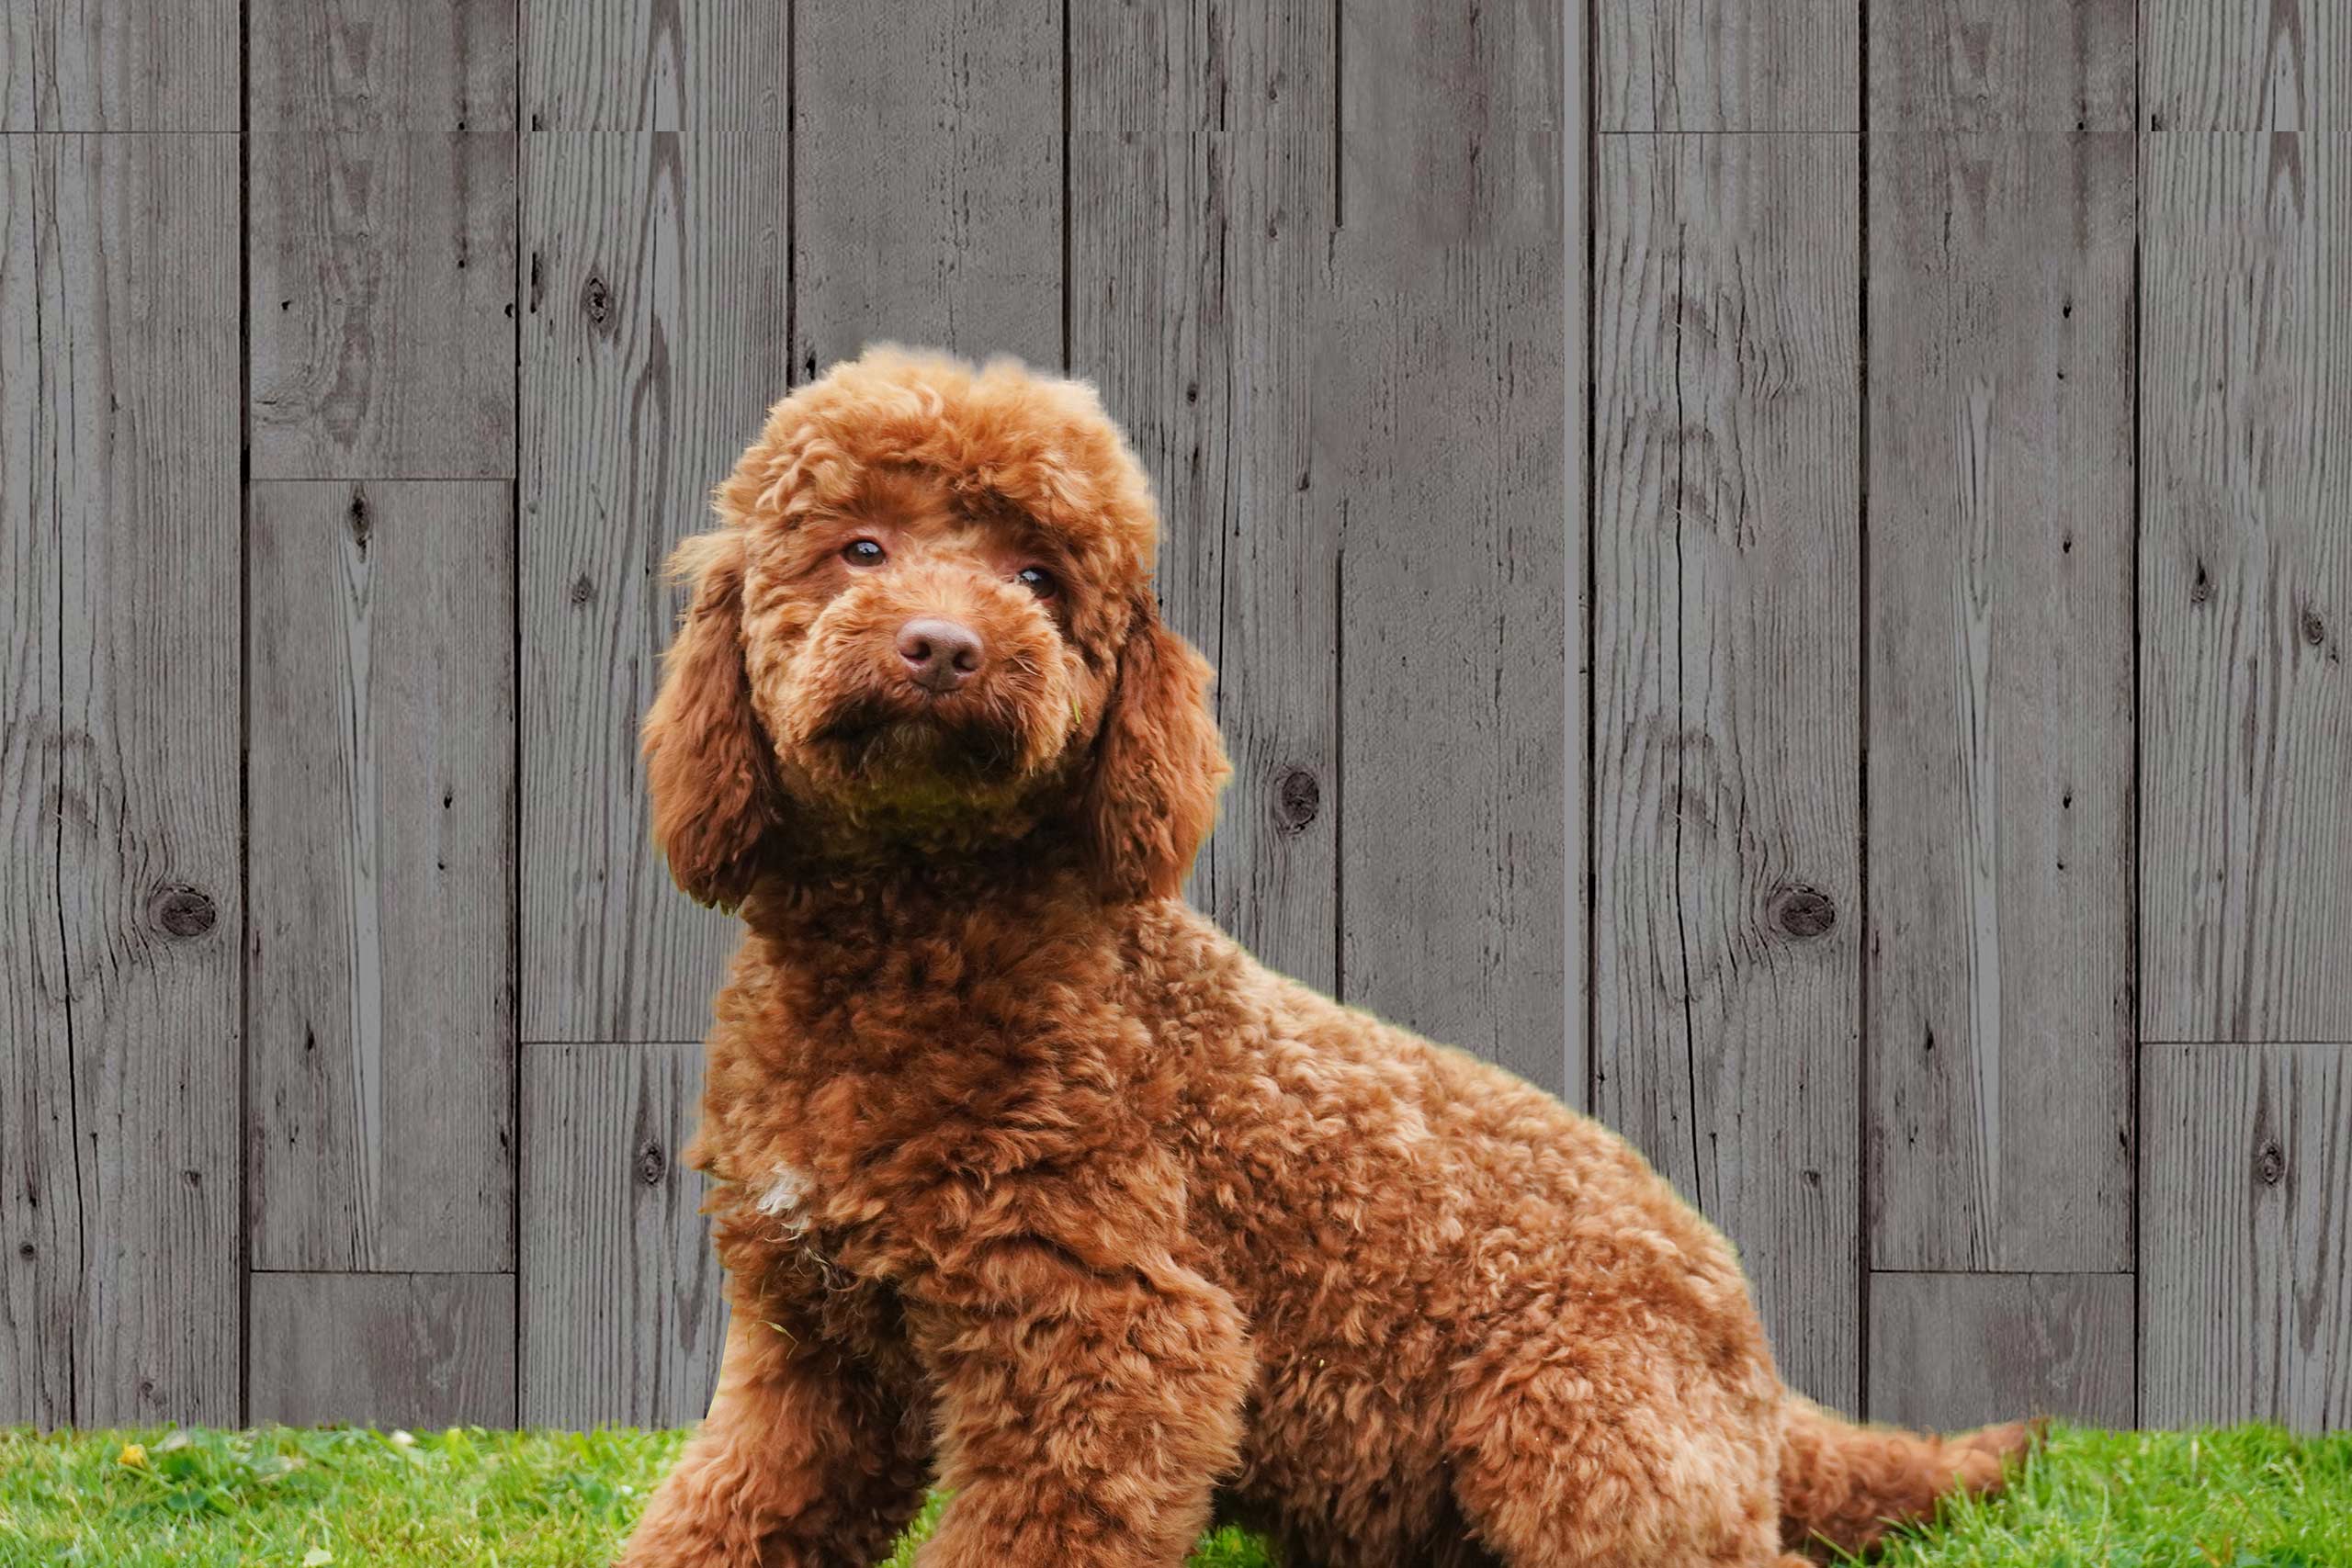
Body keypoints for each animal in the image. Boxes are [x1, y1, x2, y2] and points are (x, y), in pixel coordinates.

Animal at [616, 345, 2031, 1568]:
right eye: (861, 548)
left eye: (1037, 578)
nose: (943, 647)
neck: (904, 942)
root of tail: (1765, 1364)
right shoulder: (813, 1353)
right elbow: (723, 1510)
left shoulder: (1109, 1342)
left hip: (1576, 1429)